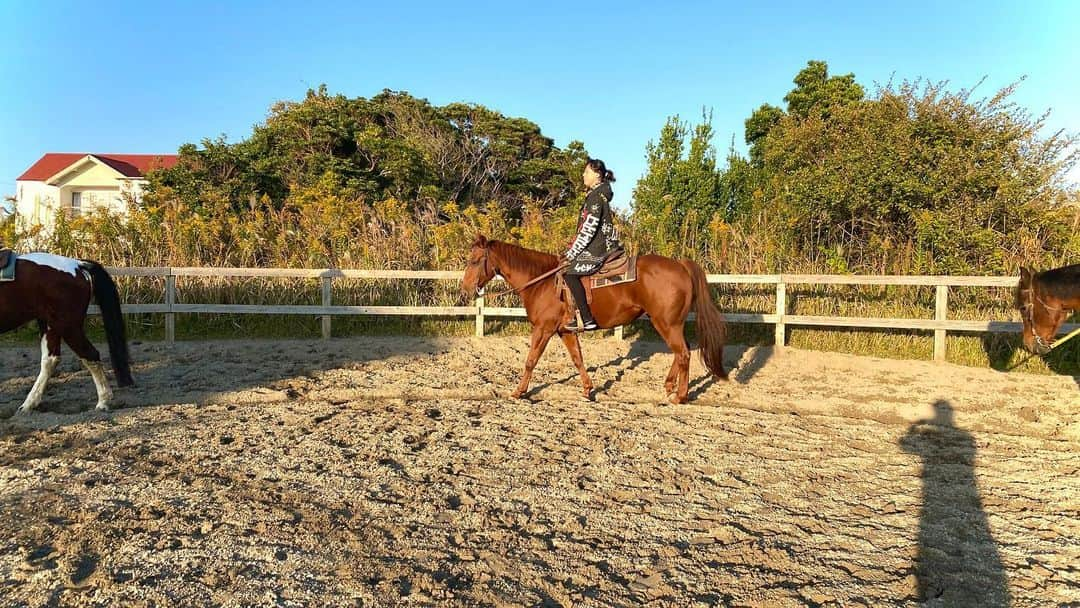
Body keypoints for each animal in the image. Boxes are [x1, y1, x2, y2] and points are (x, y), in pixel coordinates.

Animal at [0, 252, 133, 414]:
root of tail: (78, 265)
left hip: (68, 327)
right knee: (50, 360)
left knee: (91, 356)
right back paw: (28, 405)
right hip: (51, 325)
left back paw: (103, 402)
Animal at [460, 236, 730, 403]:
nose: (465, 289)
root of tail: (681, 265)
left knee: (683, 354)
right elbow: (578, 359)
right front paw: (588, 390)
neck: (541, 281)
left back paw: (680, 396)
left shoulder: (544, 329)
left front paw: (518, 391)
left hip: (666, 323)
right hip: (670, 324)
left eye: (474, 260)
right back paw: (669, 386)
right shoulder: (566, 331)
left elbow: (530, 360)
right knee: (681, 352)